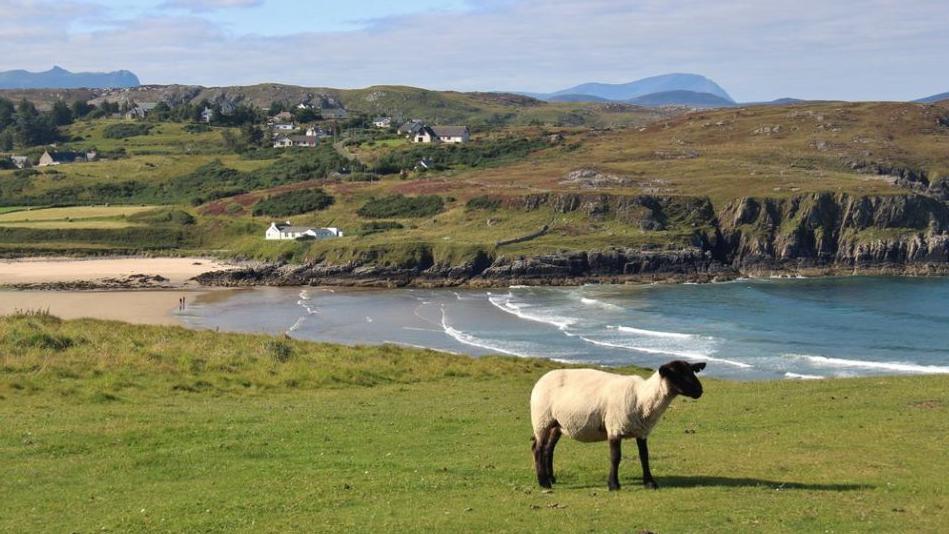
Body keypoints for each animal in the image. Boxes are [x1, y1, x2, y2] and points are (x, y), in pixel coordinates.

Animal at [528, 362, 700, 492]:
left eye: (691, 371)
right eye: (677, 374)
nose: (700, 390)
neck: (642, 397)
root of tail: (541, 380)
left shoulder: (641, 431)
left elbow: (644, 456)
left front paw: (650, 483)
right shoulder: (614, 428)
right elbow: (615, 457)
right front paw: (613, 485)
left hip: (557, 424)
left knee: (548, 449)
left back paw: (551, 478)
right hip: (541, 419)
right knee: (538, 449)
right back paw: (544, 482)